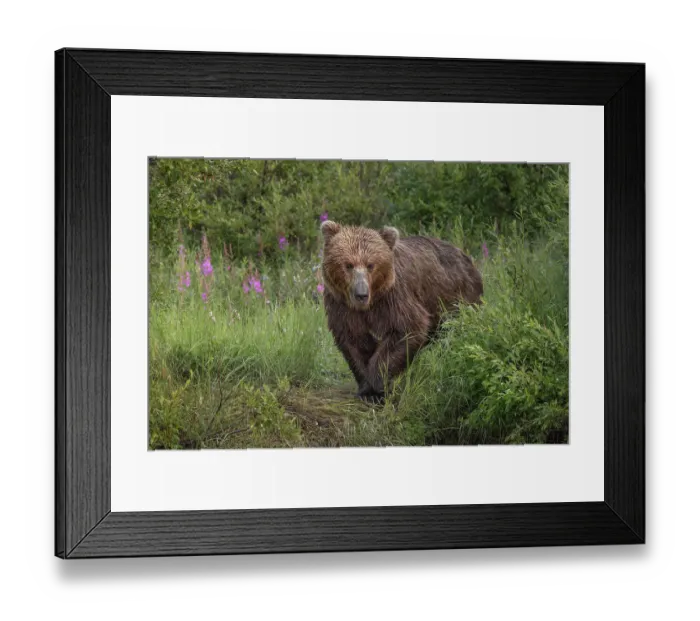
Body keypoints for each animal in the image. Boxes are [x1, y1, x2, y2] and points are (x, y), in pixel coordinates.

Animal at [321, 220, 483, 401]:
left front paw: (378, 386)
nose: (361, 294)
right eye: (348, 265)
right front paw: (366, 389)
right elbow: (354, 340)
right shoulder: (343, 306)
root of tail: (466, 256)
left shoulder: (394, 299)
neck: (371, 304)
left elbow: (407, 329)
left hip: (457, 298)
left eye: (371, 265)